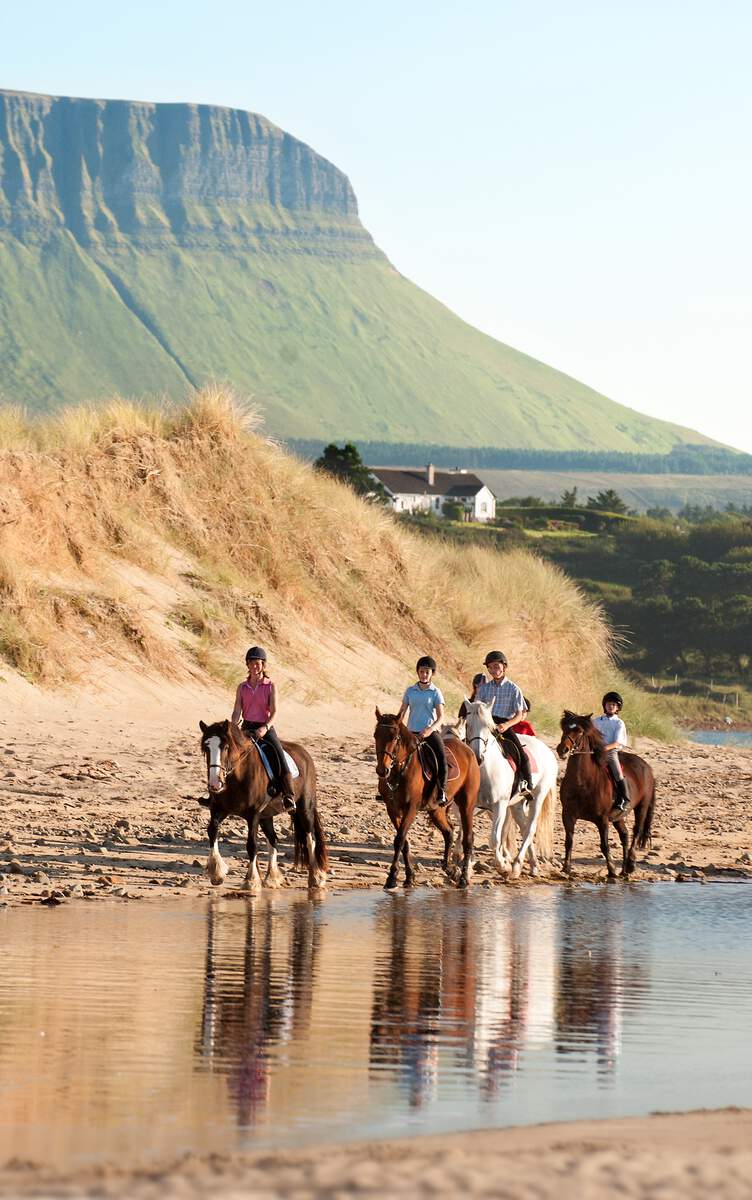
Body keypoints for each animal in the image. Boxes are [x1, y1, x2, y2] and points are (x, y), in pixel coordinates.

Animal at [200, 715, 328, 897]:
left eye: (225, 747)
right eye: (206, 748)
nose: (214, 784)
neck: (237, 777)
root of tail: (305, 754)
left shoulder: (253, 814)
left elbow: (252, 845)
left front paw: (251, 881)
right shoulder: (219, 810)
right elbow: (211, 831)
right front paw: (216, 873)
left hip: (305, 808)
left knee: (310, 839)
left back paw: (316, 878)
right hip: (266, 815)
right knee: (273, 840)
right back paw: (272, 877)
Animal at [374, 710, 479, 892]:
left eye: (395, 738)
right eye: (375, 735)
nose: (382, 770)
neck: (401, 769)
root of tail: (469, 751)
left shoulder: (411, 808)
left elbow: (399, 840)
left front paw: (392, 878)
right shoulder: (392, 809)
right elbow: (404, 842)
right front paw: (409, 877)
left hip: (467, 805)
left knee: (468, 839)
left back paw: (464, 879)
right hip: (436, 810)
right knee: (448, 832)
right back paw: (450, 869)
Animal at [462, 700, 556, 883]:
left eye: (488, 726)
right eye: (467, 725)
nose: (477, 757)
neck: (486, 770)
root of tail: (547, 749)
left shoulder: (499, 805)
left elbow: (494, 839)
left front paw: (503, 866)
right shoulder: (471, 805)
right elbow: (468, 836)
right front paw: (467, 870)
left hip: (538, 796)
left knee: (530, 829)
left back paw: (516, 867)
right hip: (516, 804)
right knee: (524, 827)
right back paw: (533, 866)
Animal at [556, 705, 657, 878]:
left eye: (580, 731)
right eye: (565, 728)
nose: (562, 750)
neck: (583, 783)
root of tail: (647, 767)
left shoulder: (602, 819)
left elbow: (604, 845)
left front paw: (611, 870)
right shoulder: (568, 814)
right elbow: (569, 841)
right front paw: (566, 868)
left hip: (642, 807)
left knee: (636, 832)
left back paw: (630, 864)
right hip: (618, 817)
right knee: (625, 835)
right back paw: (624, 869)